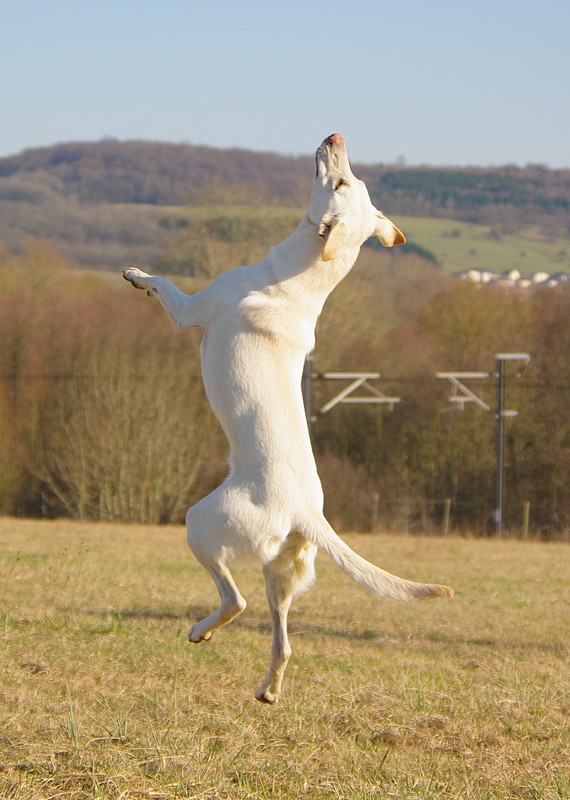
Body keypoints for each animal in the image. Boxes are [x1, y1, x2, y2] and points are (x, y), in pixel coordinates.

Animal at [122, 134, 450, 704]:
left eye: (341, 182)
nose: (335, 136)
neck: (301, 277)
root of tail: (306, 514)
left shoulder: (189, 311)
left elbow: (164, 285)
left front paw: (137, 276)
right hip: (282, 575)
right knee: (283, 640)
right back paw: (268, 689)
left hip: (201, 525)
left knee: (236, 601)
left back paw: (201, 630)